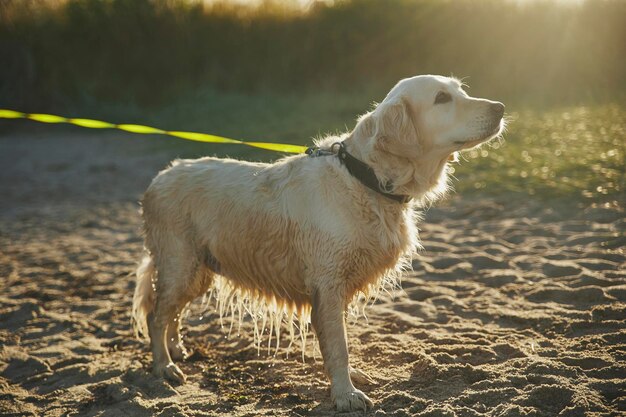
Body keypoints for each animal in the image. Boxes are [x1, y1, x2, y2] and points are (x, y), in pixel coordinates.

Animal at [130, 74, 502, 410]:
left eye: (460, 90)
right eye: (442, 98)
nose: (499, 108)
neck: (366, 179)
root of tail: (159, 178)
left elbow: (340, 342)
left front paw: (349, 381)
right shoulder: (328, 283)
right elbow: (338, 345)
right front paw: (346, 395)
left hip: (199, 270)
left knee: (173, 312)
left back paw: (176, 349)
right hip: (181, 264)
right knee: (156, 315)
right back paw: (164, 366)